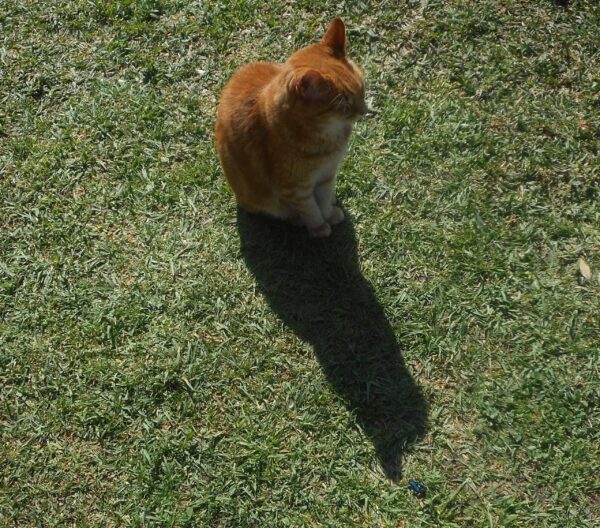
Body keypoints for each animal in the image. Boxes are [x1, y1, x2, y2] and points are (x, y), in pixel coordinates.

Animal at [216, 18, 366, 237]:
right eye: (344, 106)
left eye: (362, 90)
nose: (364, 111)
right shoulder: (295, 189)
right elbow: (310, 208)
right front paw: (319, 227)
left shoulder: (327, 175)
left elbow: (324, 200)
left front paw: (329, 213)